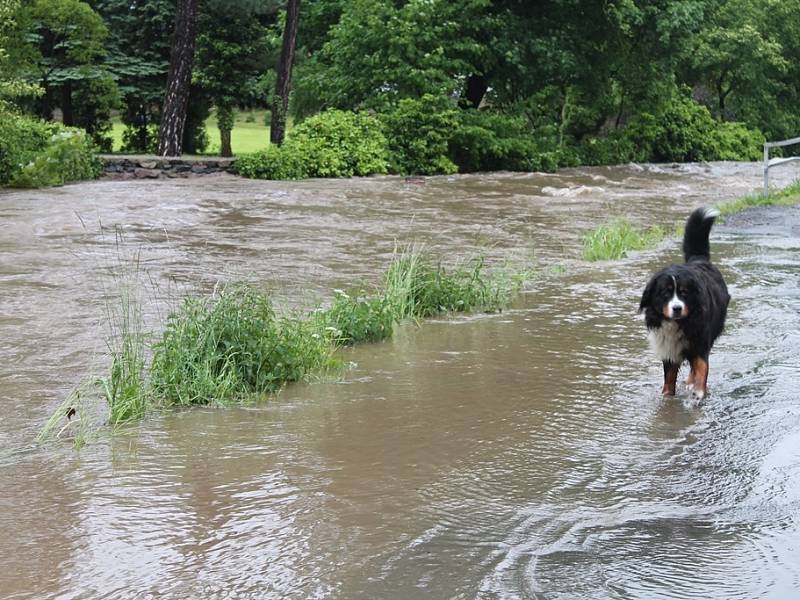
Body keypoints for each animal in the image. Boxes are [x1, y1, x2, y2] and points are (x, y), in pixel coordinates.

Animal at [640, 206, 728, 398]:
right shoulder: (670, 349)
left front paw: (699, 392)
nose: (677, 308)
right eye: (665, 293)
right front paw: (667, 397)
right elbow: (669, 379)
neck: (678, 323)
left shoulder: (700, 342)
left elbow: (701, 367)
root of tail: (699, 259)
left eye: (684, 293)